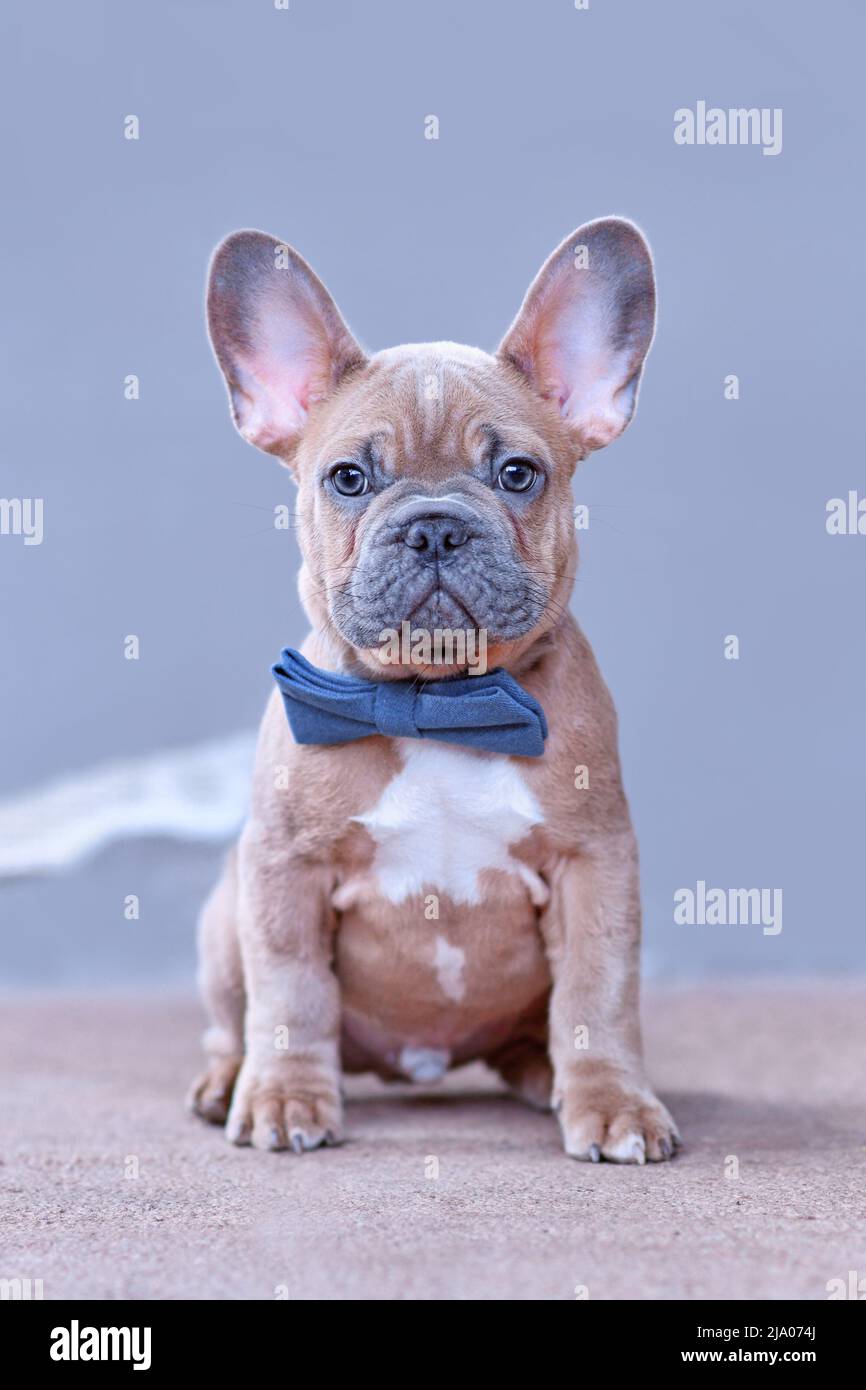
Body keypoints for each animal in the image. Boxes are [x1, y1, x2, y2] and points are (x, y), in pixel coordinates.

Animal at [191, 222, 683, 1167]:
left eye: (518, 474)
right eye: (348, 479)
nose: (434, 527)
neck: (436, 701)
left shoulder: (594, 863)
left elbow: (597, 996)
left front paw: (612, 1103)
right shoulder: (283, 868)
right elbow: (291, 992)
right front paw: (285, 1097)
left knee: (541, 1029)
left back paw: (542, 1076)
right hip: (224, 914)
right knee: (235, 1019)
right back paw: (228, 1081)